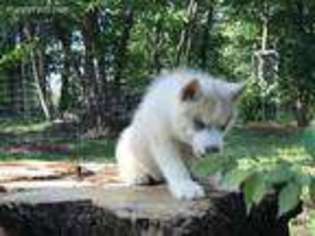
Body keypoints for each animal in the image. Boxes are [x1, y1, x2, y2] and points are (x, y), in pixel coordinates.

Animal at [115, 68, 244, 199]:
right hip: (127, 145)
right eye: (199, 123)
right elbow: (176, 166)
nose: (213, 150)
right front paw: (186, 187)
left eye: (224, 126)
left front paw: (222, 182)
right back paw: (138, 176)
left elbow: (210, 165)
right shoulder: (163, 139)